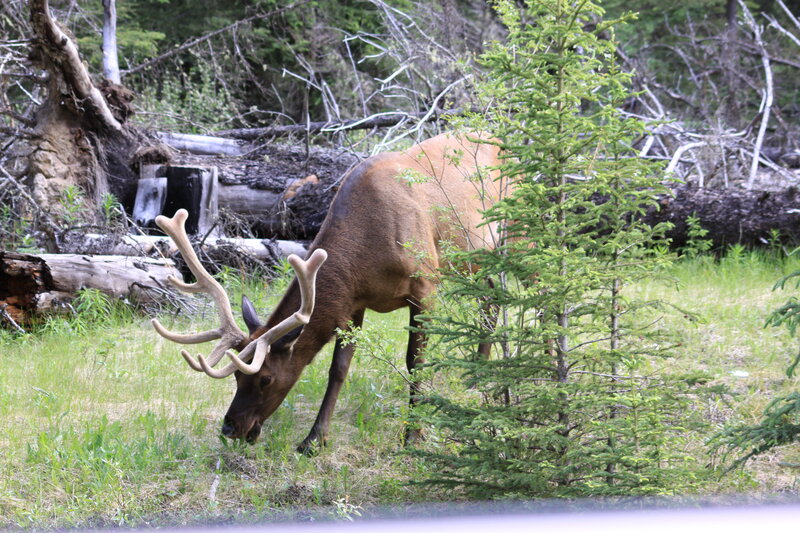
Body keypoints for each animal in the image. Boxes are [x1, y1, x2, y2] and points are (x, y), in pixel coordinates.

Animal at [152, 131, 504, 454]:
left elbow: (414, 362)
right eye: (237, 375)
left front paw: (413, 436)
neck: (368, 252)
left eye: (265, 378)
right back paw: (479, 371)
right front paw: (314, 440)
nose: (230, 427)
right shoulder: (354, 302)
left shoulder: (424, 285)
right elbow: (339, 368)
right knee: (492, 293)